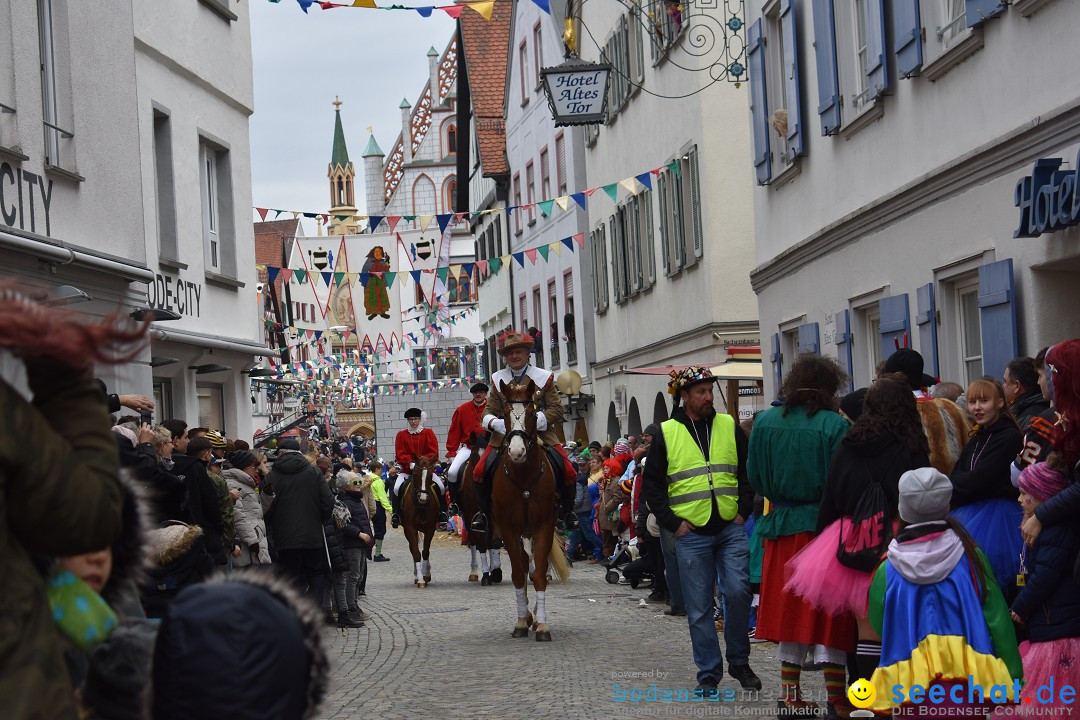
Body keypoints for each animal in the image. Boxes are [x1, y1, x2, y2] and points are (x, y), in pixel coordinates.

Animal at [401, 459, 438, 587]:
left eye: (431, 475)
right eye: (415, 474)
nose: (423, 498)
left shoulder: (430, 528)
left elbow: (426, 551)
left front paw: (426, 575)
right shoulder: (410, 528)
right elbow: (416, 552)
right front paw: (421, 579)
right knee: (413, 549)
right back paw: (417, 575)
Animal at [457, 440, 503, 587]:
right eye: (473, 454)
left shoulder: (494, 515)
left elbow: (494, 542)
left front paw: (496, 571)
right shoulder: (472, 514)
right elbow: (481, 543)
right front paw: (486, 575)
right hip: (467, 518)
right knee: (473, 541)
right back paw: (474, 573)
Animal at [492, 377, 570, 643]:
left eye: (533, 414)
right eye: (504, 413)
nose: (517, 452)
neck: (524, 477)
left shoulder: (543, 526)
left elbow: (539, 574)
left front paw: (543, 625)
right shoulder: (508, 529)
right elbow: (518, 573)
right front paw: (520, 621)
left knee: (536, 567)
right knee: (525, 565)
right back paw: (526, 616)